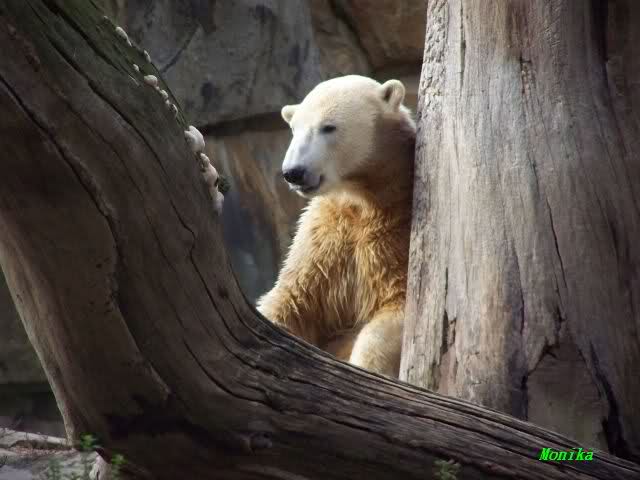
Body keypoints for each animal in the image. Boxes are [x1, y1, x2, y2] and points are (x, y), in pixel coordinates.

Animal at [256, 75, 415, 377]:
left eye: (328, 127)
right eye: (294, 129)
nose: (293, 172)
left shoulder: (397, 234)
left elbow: (394, 308)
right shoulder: (324, 238)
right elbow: (291, 299)